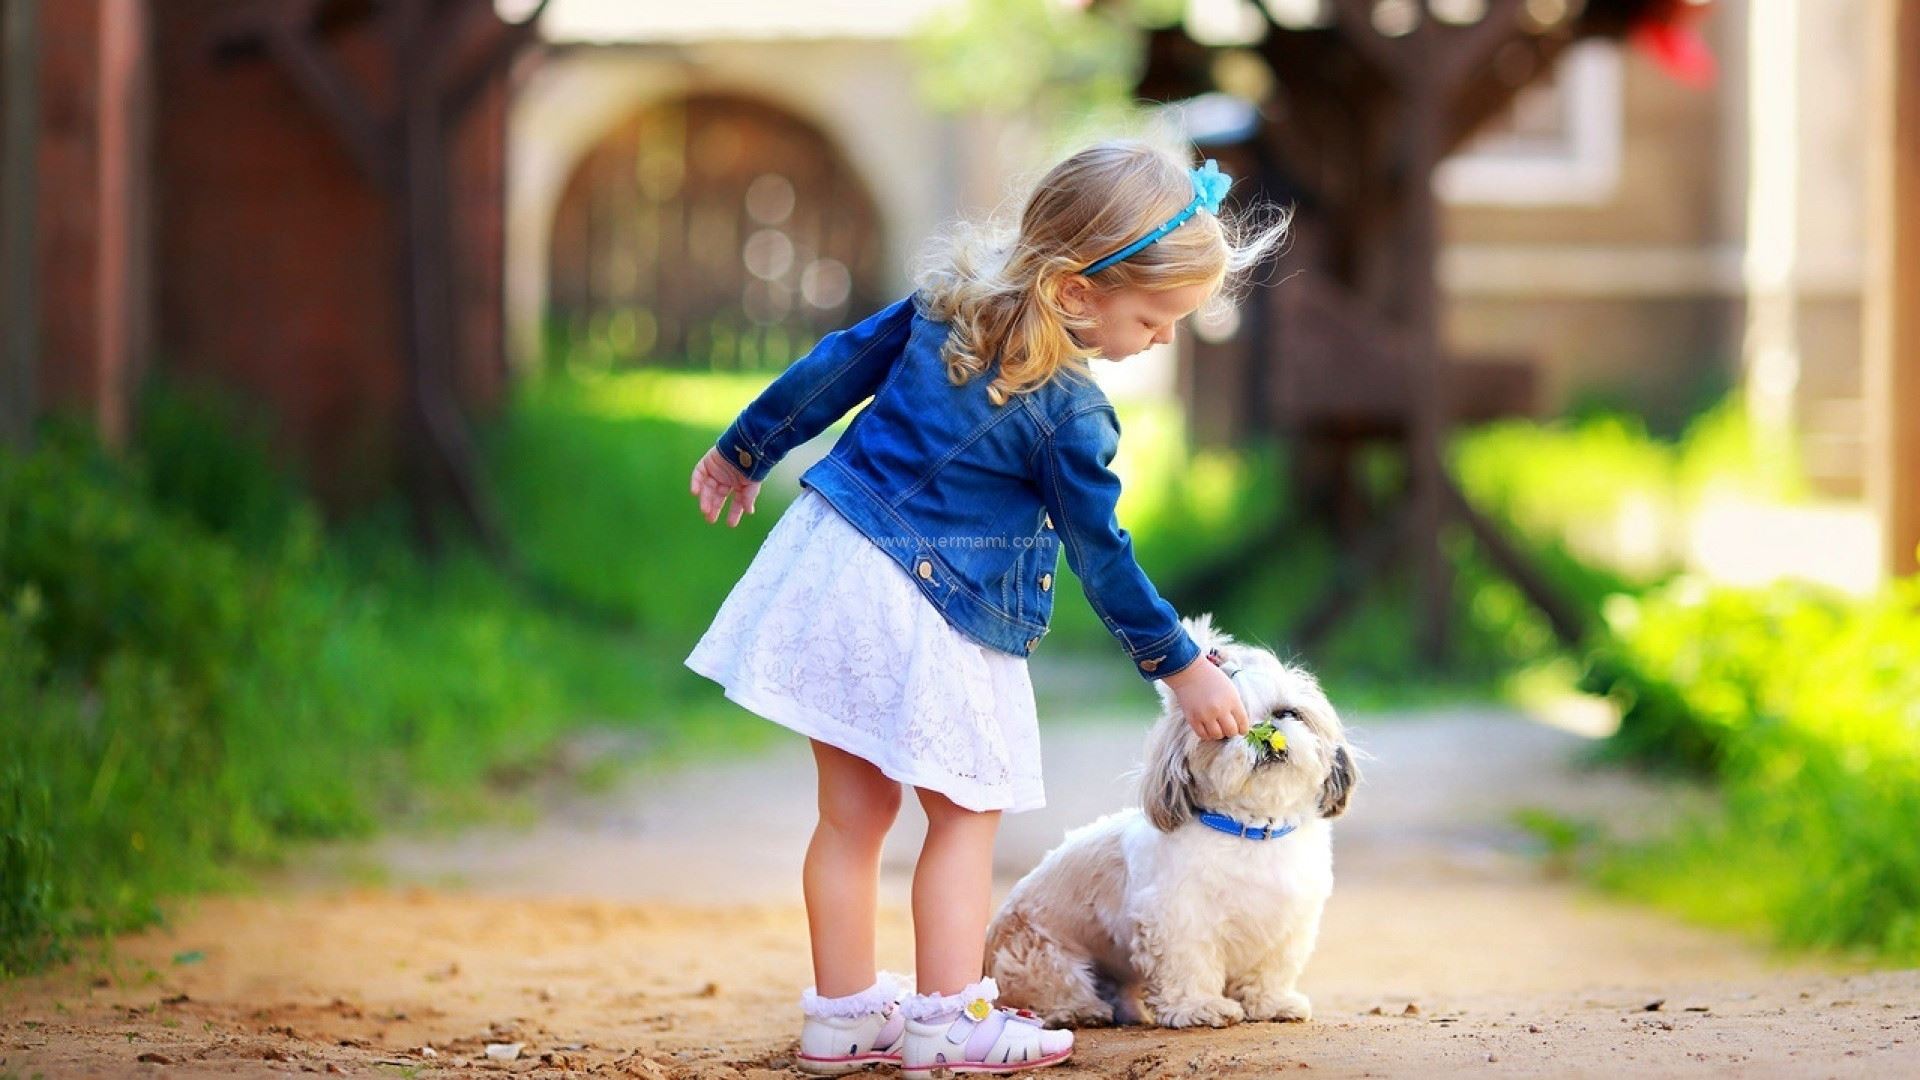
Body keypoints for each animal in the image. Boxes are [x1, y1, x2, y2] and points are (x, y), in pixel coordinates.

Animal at [983, 614, 1359, 1022]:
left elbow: (1269, 971)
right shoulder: (1179, 919)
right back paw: (1080, 1010)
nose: (1266, 733)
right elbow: (1189, 966)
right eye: (1226, 730)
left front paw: (1272, 1003)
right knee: (1049, 990)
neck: (1252, 828)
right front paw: (1200, 1007)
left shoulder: (1286, 924)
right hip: (1039, 955)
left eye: (1287, 713)